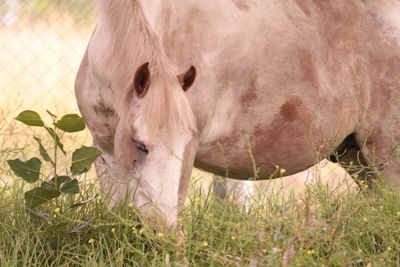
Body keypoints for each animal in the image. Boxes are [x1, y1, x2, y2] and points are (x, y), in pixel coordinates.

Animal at [76, 0, 400, 230]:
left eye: (182, 147)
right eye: (140, 144)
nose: (161, 226)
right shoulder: (106, 151)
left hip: (385, 156)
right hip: (356, 158)